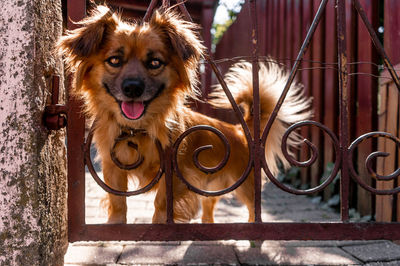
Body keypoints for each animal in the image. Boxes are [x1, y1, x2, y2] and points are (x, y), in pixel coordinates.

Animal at [57, 5, 312, 223]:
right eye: (114, 60)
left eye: (155, 62)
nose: (132, 87)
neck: (138, 129)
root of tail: (240, 130)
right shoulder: (113, 169)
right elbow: (117, 202)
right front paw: (115, 227)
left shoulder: (175, 172)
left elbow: (161, 204)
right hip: (210, 189)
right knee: (208, 212)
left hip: (245, 186)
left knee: (252, 211)